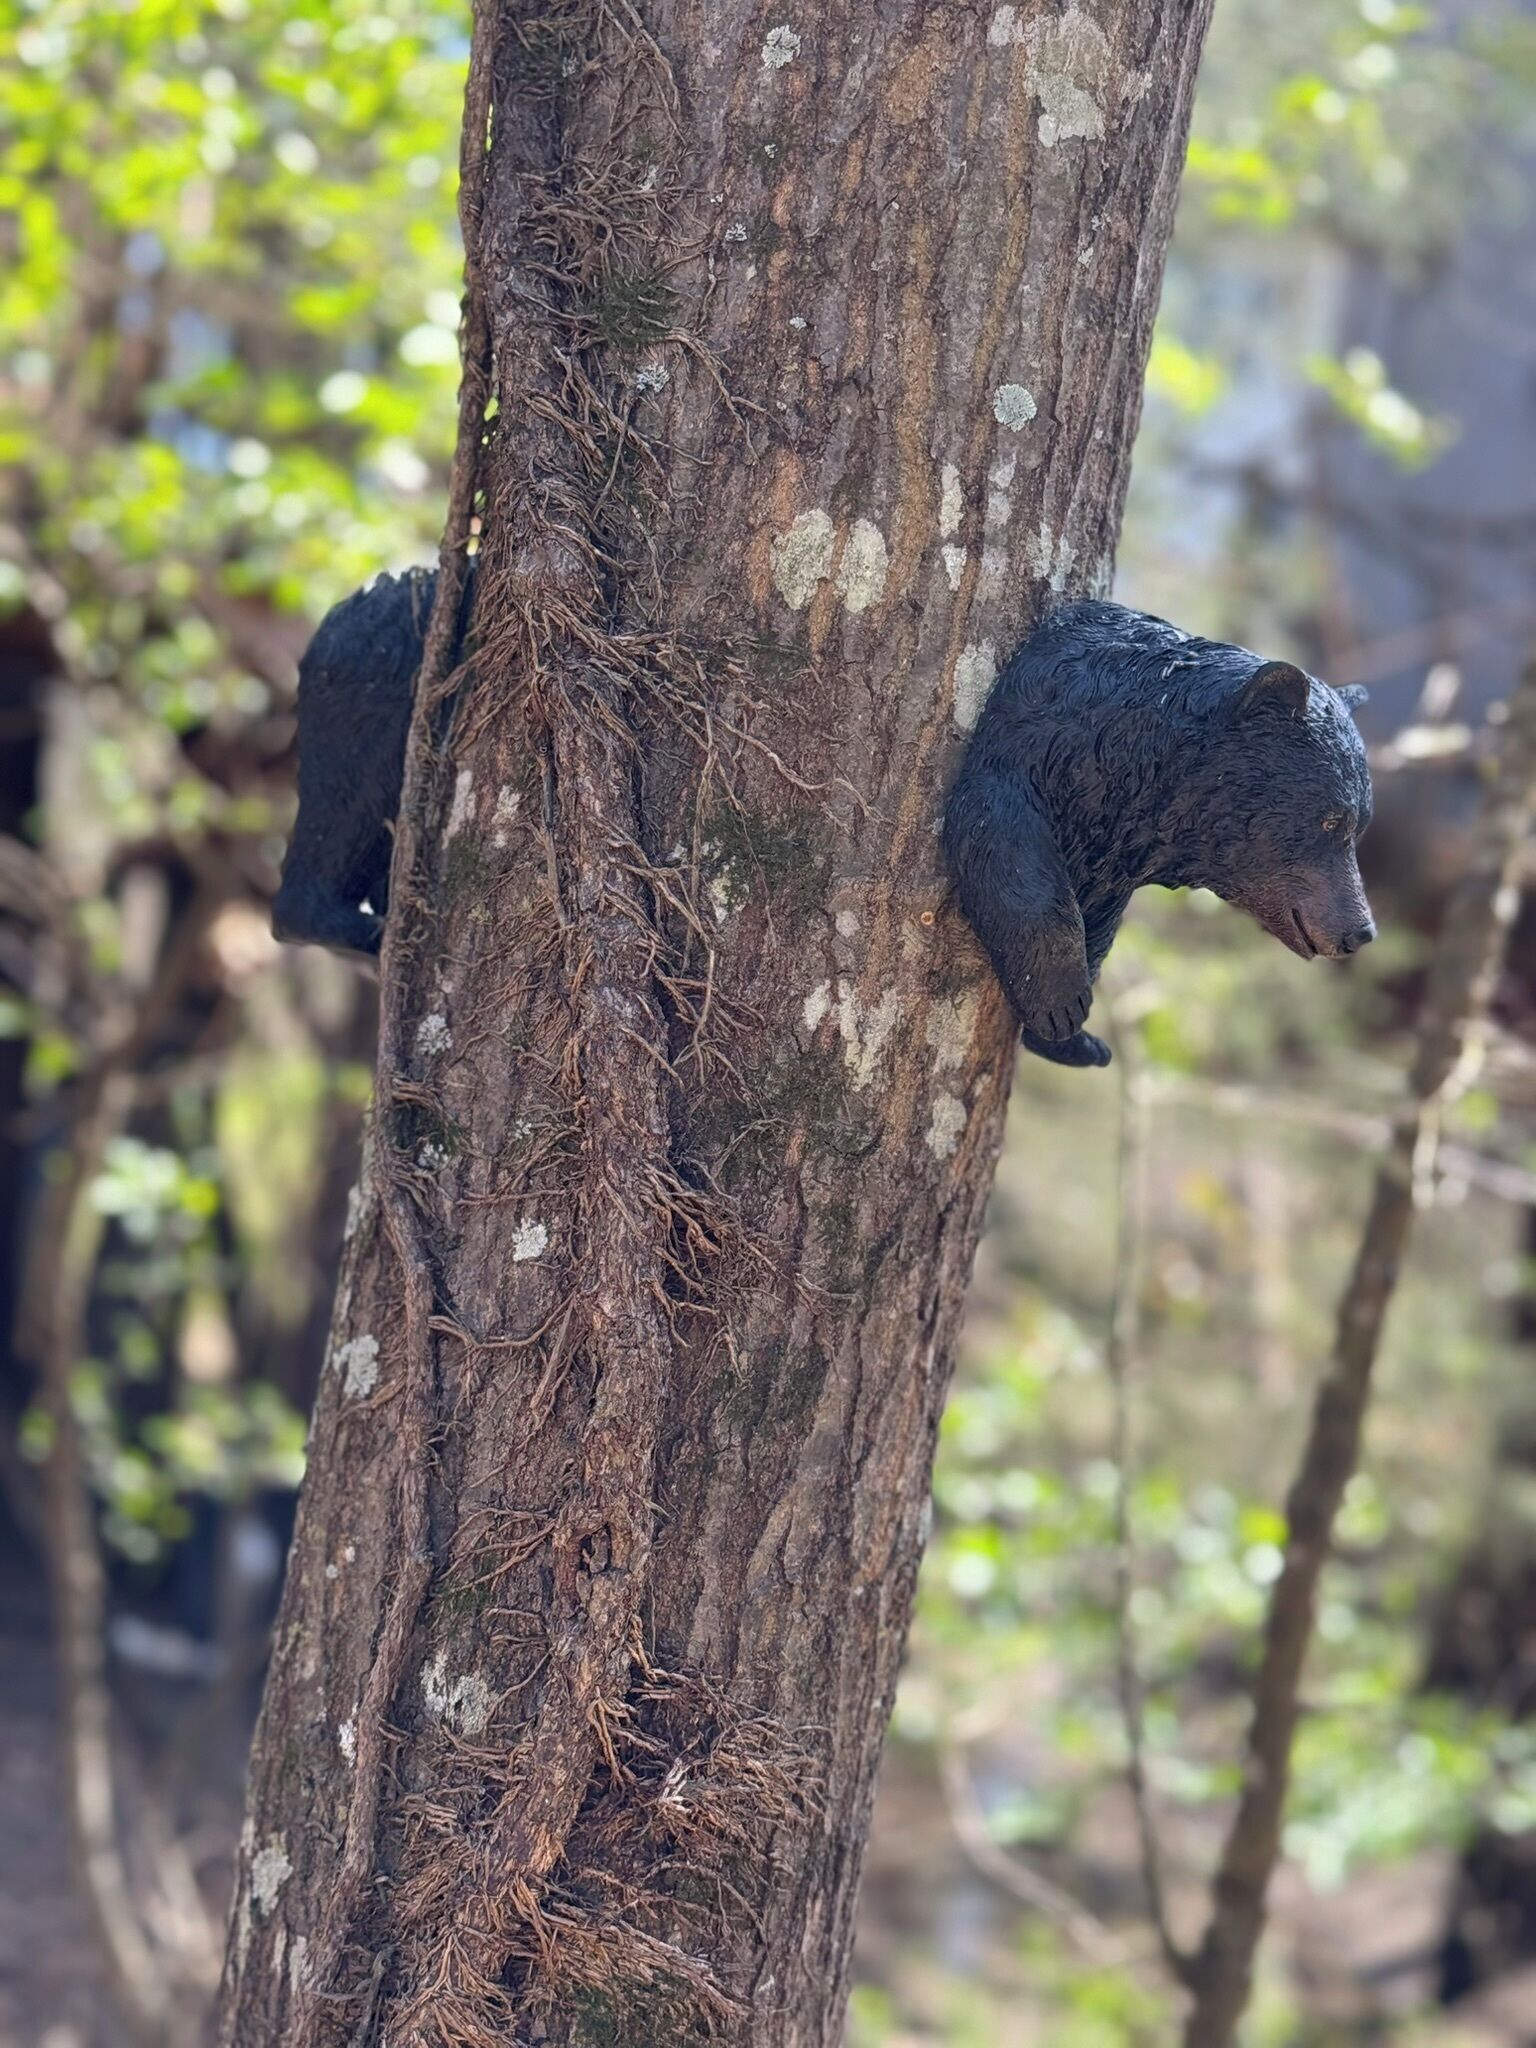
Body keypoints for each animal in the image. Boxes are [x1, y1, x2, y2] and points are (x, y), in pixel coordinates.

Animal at [943, 600, 1375, 1069]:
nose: (1361, 931)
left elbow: (1101, 921)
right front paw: (1060, 1005)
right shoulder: (1032, 745)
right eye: (1330, 820)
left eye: (1360, 825)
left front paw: (1074, 1038)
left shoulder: (1116, 853)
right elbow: (1004, 845)